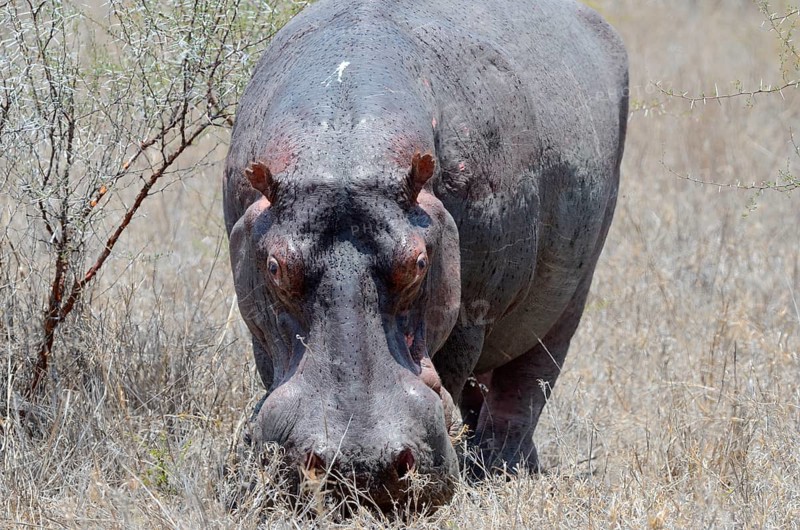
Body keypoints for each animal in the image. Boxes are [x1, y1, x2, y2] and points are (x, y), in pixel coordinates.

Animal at [223, 0, 628, 510]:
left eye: (418, 264)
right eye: (275, 267)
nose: (359, 468)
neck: (343, 144)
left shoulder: (473, 311)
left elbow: (459, 366)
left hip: (568, 299)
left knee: (525, 388)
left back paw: (501, 470)